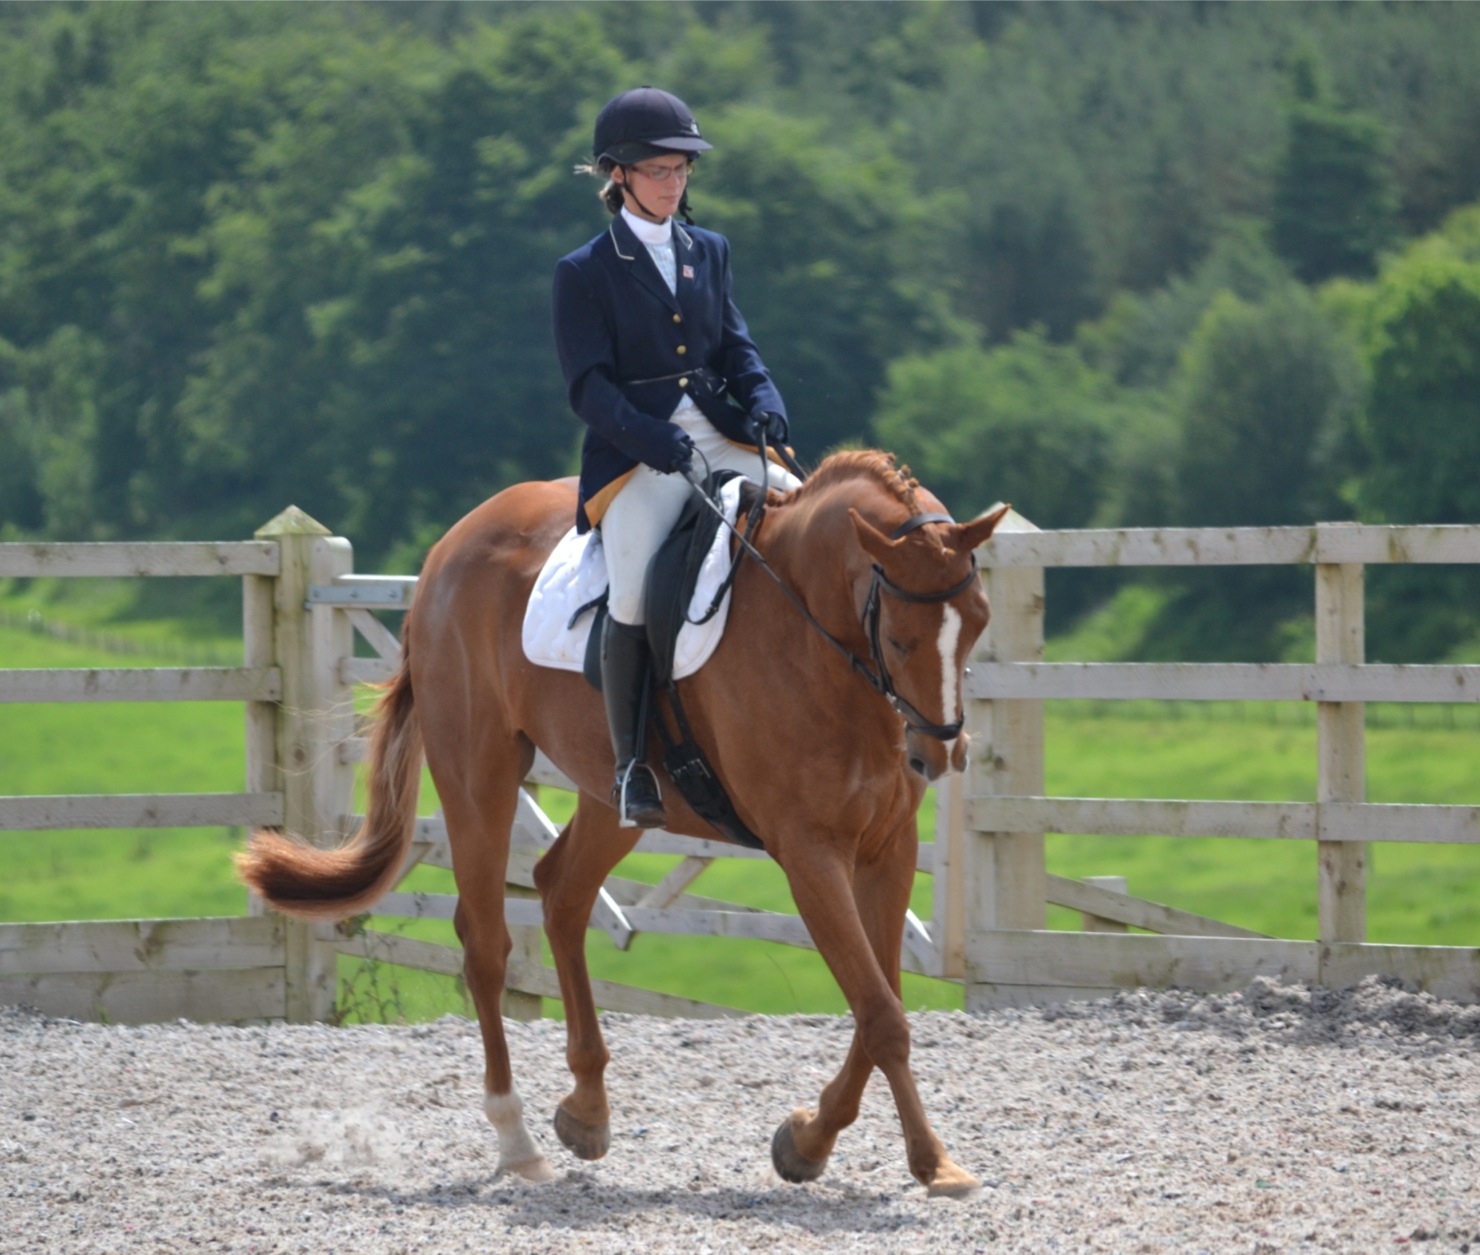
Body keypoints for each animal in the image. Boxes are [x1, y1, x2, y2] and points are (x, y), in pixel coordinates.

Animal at [237, 449, 1010, 1199]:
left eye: (978, 620)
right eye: (900, 638)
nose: (941, 753)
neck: (815, 642)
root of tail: (449, 547)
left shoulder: (887, 848)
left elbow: (881, 1003)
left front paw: (809, 1142)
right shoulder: (809, 855)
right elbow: (880, 1014)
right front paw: (931, 1162)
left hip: (615, 799)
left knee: (561, 893)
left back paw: (585, 1110)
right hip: (477, 772)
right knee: (485, 942)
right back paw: (518, 1142)